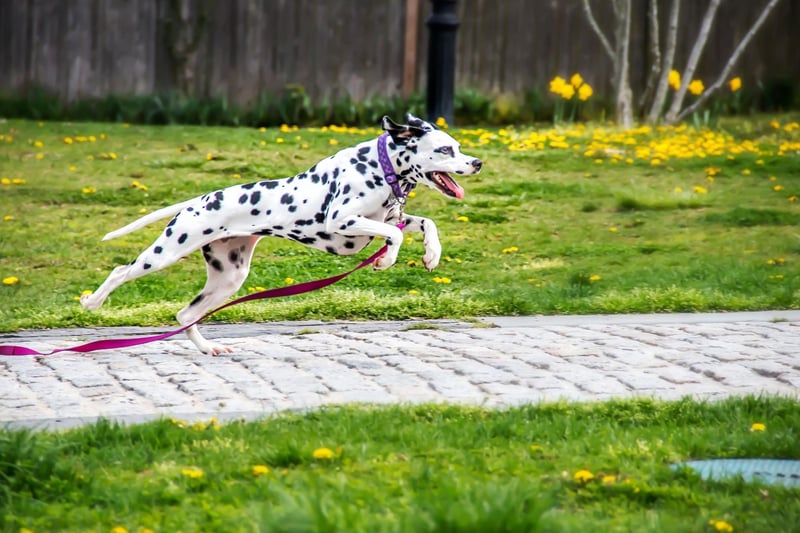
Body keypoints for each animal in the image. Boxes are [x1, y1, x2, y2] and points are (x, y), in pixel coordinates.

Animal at [81, 113, 482, 354]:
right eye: (445, 149)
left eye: (459, 147)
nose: (477, 162)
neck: (379, 168)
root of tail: (200, 200)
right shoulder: (341, 221)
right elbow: (393, 235)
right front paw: (386, 260)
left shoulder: (389, 215)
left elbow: (424, 223)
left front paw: (431, 254)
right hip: (166, 253)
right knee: (121, 271)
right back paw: (92, 302)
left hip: (229, 278)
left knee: (184, 314)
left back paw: (208, 348)